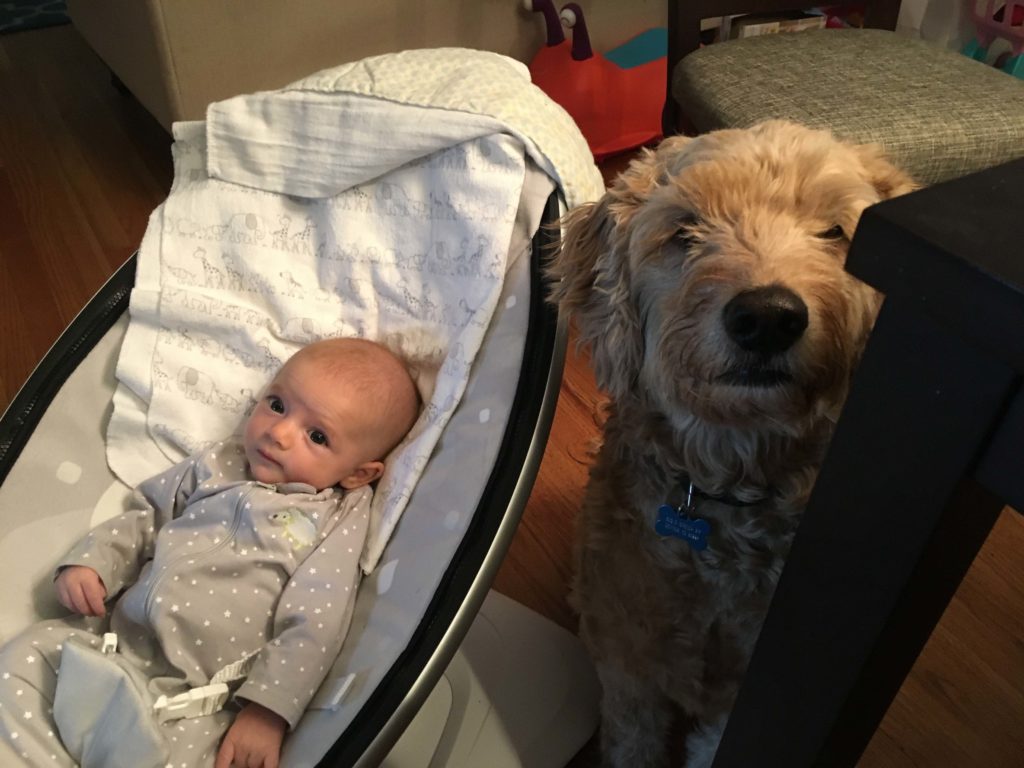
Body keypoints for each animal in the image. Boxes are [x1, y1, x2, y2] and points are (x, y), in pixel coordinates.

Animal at [548, 121, 917, 768]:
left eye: (836, 232)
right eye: (684, 231)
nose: (768, 317)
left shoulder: (751, 696)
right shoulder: (629, 664)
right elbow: (633, 739)